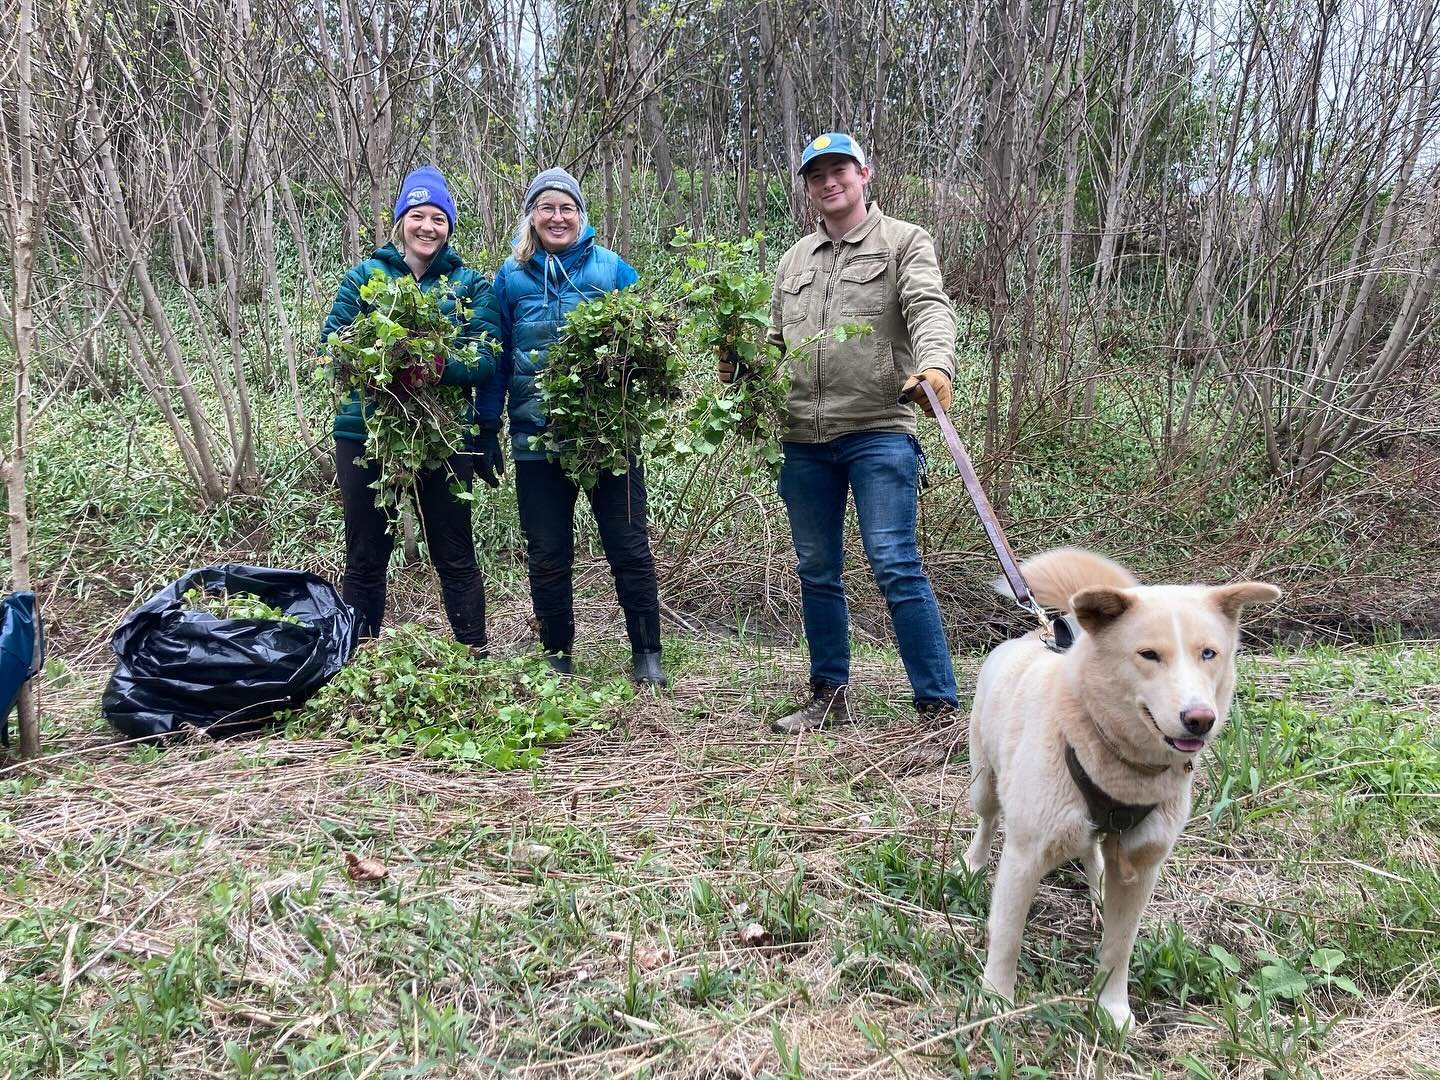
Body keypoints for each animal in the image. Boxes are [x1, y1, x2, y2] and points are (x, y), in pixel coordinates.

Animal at [967, 550, 1284, 1031]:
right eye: (1149, 655)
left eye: (1208, 653)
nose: (1200, 719)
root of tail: (1034, 635)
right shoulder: (1025, 856)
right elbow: (1006, 936)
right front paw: (995, 1003)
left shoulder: (1144, 862)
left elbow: (1119, 947)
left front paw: (1112, 1010)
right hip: (984, 781)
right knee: (987, 821)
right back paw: (971, 864)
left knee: (1093, 850)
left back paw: (1097, 883)